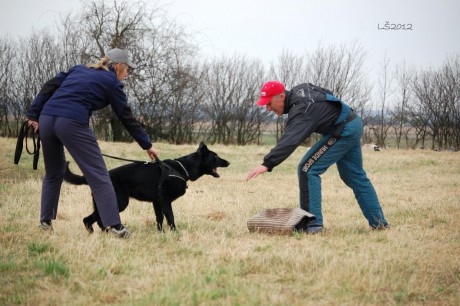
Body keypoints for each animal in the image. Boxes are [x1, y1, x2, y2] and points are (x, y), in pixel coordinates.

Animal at [63, 142, 229, 233]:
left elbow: (159, 219)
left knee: (98, 219)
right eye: (215, 156)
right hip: (120, 202)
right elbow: (170, 217)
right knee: (89, 219)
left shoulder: (157, 203)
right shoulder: (165, 201)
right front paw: (175, 233)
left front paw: (161, 234)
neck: (183, 168)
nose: (228, 162)